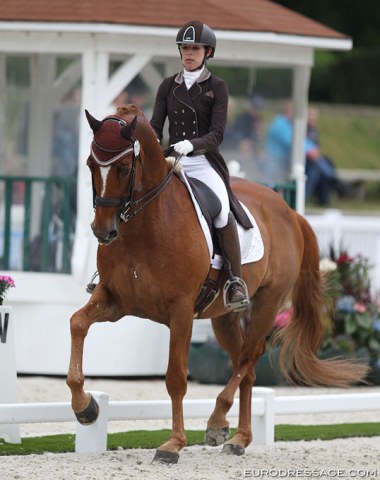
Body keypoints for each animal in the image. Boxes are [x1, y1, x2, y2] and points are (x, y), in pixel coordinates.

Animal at [67, 104, 366, 462]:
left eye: (125, 169)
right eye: (90, 165)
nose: (103, 231)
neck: (146, 225)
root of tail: (288, 211)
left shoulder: (180, 311)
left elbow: (176, 378)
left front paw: (173, 444)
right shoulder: (115, 299)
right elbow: (77, 323)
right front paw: (85, 407)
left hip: (267, 303)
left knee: (250, 356)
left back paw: (217, 420)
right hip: (222, 318)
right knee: (245, 366)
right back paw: (239, 437)